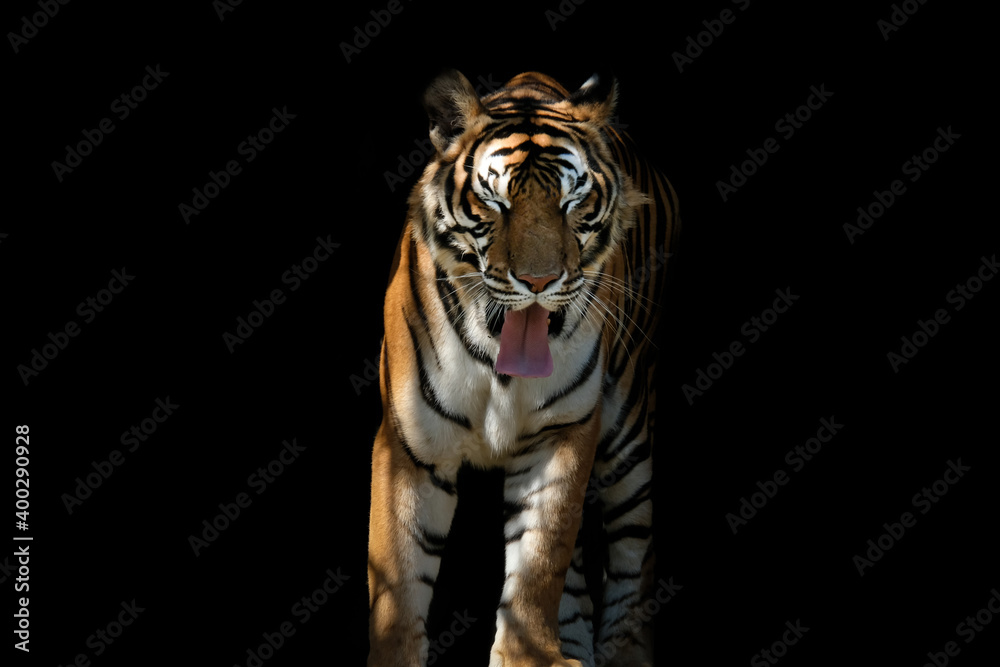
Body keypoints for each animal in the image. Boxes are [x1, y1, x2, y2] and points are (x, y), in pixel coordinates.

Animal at [368, 69, 679, 667]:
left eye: (572, 202)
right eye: (496, 202)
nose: (539, 281)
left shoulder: (563, 433)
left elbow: (540, 561)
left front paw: (528, 656)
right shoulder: (410, 446)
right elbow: (397, 583)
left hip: (630, 430)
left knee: (637, 549)